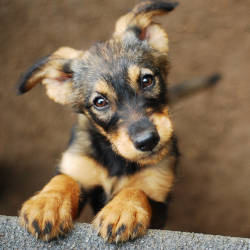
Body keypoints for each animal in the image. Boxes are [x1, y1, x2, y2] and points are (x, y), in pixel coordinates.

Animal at [18, 0, 181, 242]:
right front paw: (47, 203)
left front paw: (122, 210)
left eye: (147, 80)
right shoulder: (79, 167)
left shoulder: (159, 198)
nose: (148, 141)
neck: (116, 159)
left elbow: (137, 190)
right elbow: (64, 179)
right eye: (100, 102)